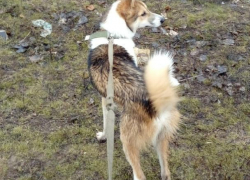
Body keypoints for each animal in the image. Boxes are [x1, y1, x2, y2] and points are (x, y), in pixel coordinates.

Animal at [87, 0, 180, 180]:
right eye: (143, 13)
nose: (163, 20)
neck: (114, 36)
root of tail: (155, 104)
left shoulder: (105, 101)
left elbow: (105, 125)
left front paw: (103, 137)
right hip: (161, 140)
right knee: (165, 172)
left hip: (128, 142)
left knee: (139, 174)